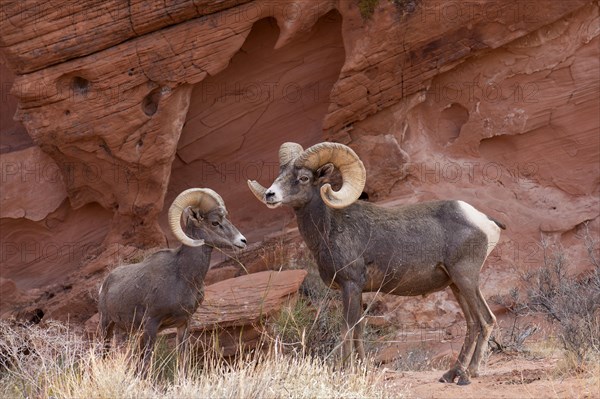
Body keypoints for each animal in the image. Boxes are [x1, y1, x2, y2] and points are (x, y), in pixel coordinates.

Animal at [98, 188, 246, 376]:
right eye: (215, 222)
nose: (242, 241)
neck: (183, 276)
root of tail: (105, 284)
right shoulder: (151, 324)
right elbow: (146, 362)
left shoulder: (184, 324)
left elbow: (182, 359)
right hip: (106, 326)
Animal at [248, 142, 506, 386]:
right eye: (281, 173)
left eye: (303, 178)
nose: (270, 195)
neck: (329, 230)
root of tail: (484, 221)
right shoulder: (359, 291)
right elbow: (359, 330)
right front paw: (363, 368)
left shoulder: (350, 285)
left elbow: (347, 329)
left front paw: (345, 371)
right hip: (456, 285)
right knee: (472, 323)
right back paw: (452, 374)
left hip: (466, 278)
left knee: (485, 320)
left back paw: (467, 375)